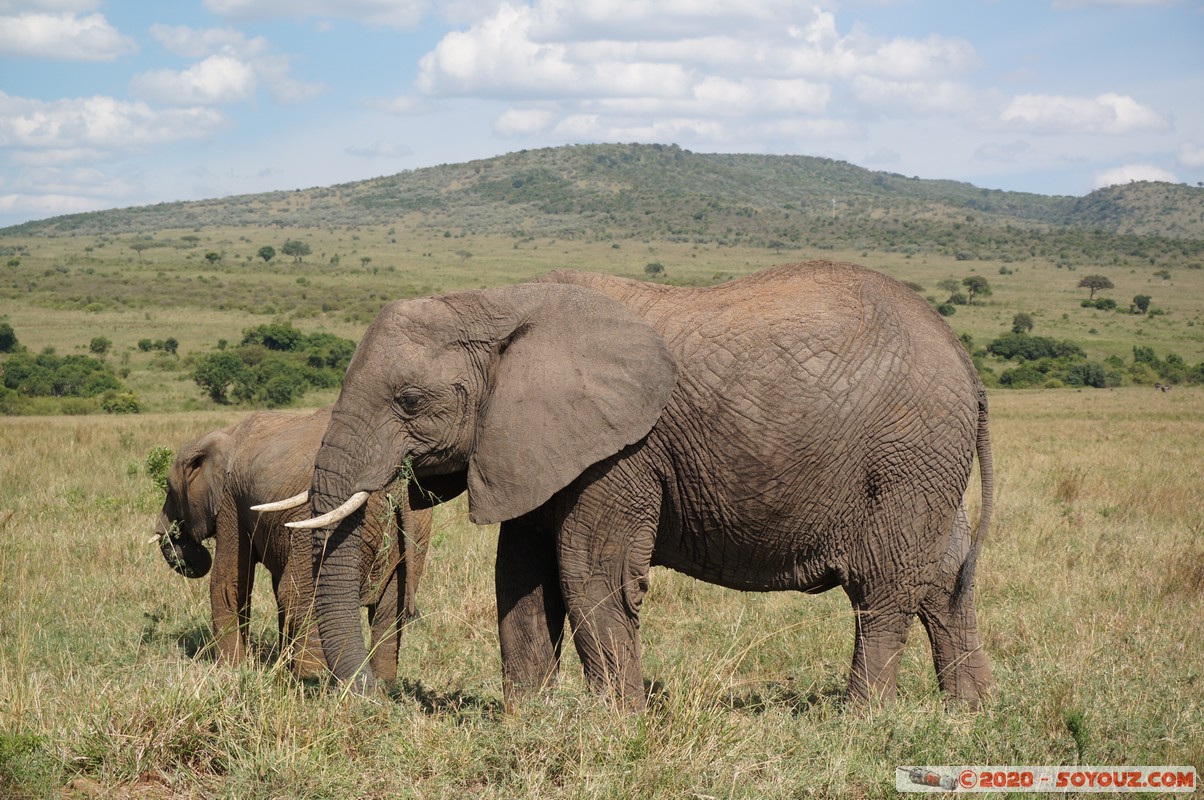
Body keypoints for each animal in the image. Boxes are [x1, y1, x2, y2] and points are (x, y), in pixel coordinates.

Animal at [152, 407, 431, 679]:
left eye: (169, 489)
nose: (175, 534)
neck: (221, 435)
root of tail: (397, 483)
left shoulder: (230, 500)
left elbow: (228, 582)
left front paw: (231, 670)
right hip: (417, 527)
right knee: (388, 611)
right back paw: (379, 685)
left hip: (323, 519)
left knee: (299, 593)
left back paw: (311, 682)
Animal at [286, 261, 992, 708]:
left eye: (408, 401)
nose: (381, 699)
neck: (497, 302)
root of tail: (964, 358)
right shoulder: (530, 443)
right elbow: (520, 576)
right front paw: (528, 720)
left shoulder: (620, 451)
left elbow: (590, 571)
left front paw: (616, 725)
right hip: (928, 462)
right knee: (942, 577)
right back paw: (966, 715)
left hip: (907, 458)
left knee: (883, 587)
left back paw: (859, 721)